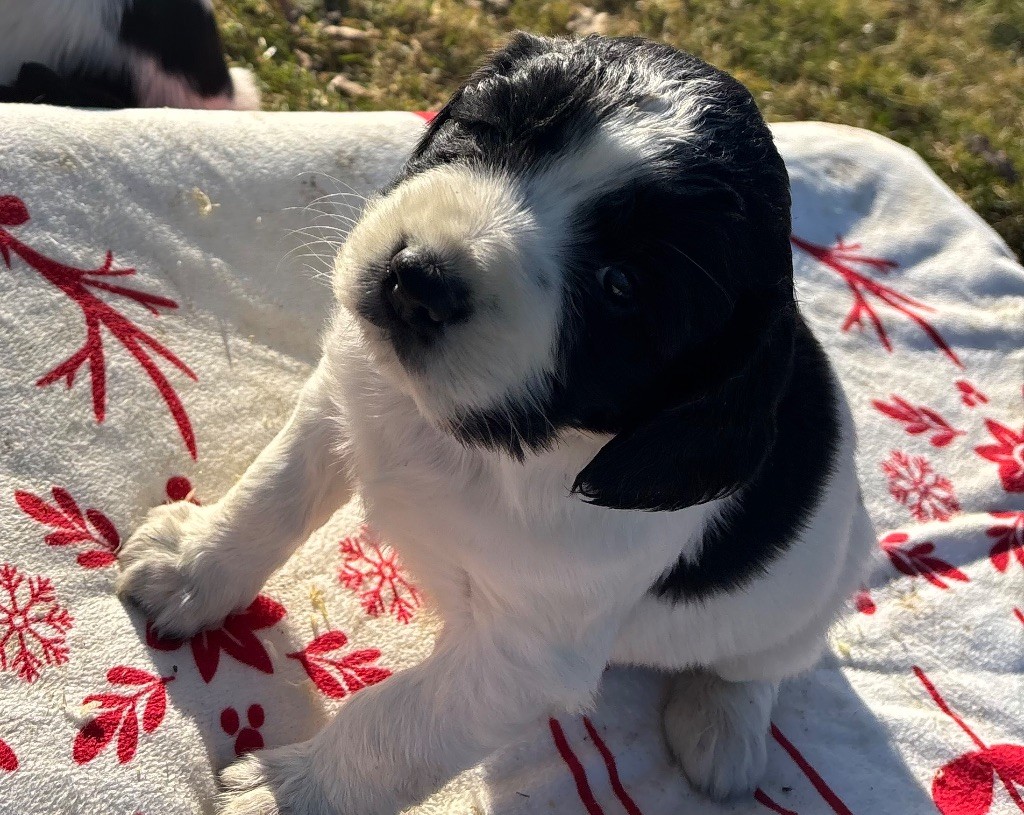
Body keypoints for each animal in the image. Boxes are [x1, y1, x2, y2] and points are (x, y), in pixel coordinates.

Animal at [117, 31, 872, 815]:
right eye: (492, 132)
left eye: (620, 285)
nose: (418, 280)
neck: (468, 439)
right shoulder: (341, 399)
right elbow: (271, 493)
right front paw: (192, 566)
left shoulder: (523, 658)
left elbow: (397, 724)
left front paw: (290, 791)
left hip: (817, 590)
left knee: (760, 665)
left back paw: (721, 728)